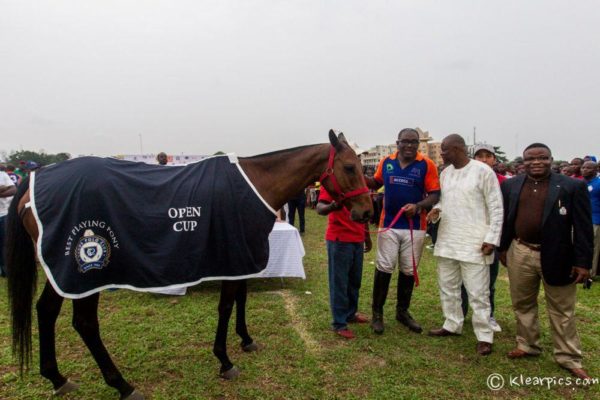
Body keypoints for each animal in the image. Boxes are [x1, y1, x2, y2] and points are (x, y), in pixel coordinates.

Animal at [4, 130, 372, 398]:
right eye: (349, 167)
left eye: (362, 166)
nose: (367, 212)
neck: (255, 185)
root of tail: (34, 182)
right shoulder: (230, 257)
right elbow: (226, 305)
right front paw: (224, 360)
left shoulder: (240, 257)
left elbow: (241, 299)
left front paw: (246, 340)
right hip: (86, 273)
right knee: (84, 323)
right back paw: (122, 385)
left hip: (60, 274)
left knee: (45, 311)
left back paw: (56, 377)